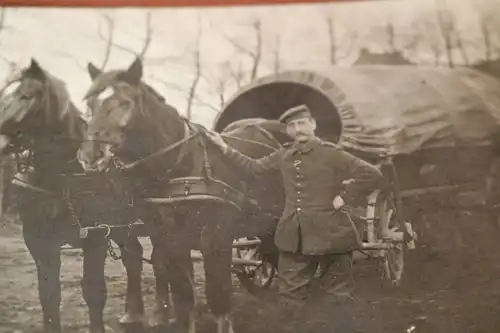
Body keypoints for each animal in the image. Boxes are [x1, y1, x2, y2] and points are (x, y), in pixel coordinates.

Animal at [0, 58, 170, 330]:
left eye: (26, 95)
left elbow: (94, 292)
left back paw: (160, 313)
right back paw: (132, 313)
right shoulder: (38, 241)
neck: (61, 176)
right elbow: (48, 294)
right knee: (134, 257)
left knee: (160, 258)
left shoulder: (97, 238)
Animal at [76, 57, 286, 332]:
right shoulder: (169, 238)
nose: (91, 156)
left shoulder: (216, 238)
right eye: (90, 103)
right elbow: (184, 295)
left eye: (125, 102)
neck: (180, 163)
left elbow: (218, 294)